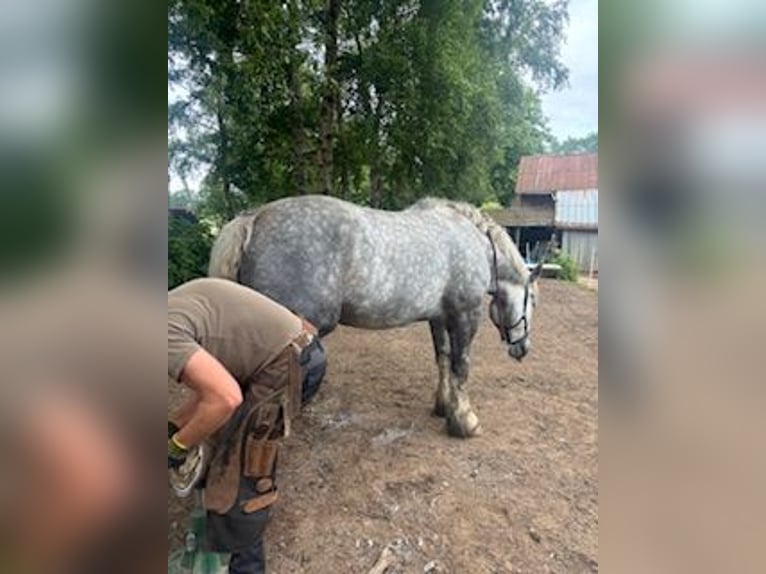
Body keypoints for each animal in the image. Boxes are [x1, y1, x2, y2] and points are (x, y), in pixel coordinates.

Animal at [210, 196, 544, 438]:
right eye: (534, 300)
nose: (523, 348)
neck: (472, 241)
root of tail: (254, 218)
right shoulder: (465, 314)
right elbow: (461, 367)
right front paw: (465, 422)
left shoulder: (439, 317)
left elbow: (443, 359)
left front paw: (443, 406)